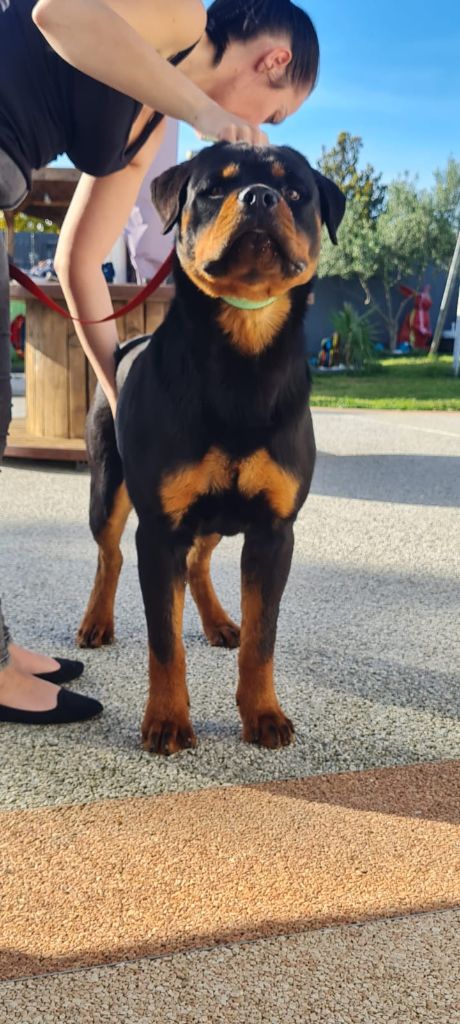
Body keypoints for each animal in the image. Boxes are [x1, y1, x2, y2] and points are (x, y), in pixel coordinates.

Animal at [78, 141, 345, 755]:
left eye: (294, 191)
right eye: (213, 189)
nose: (259, 196)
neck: (242, 361)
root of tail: (125, 344)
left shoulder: (273, 531)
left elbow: (263, 638)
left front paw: (263, 712)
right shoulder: (159, 531)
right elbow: (164, 641)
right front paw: (167, 720)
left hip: (218, 517)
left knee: (199, 561)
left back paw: (220, 620)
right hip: (109, 487)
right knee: (109, 553)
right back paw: (97, 621)